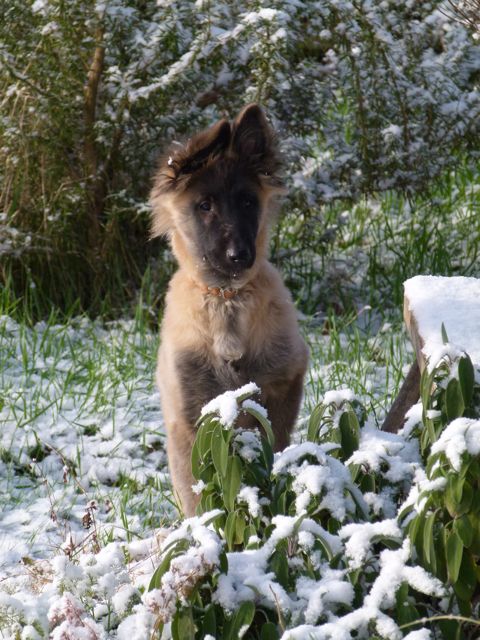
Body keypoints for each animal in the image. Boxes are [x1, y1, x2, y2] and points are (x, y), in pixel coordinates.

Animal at [150, 105, 308, 516]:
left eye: (249, 202)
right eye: (205, 205)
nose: (240, 256)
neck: (226, 299)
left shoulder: (279, 388)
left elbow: (274, 449)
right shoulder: (190, 414)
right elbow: (195, 493)